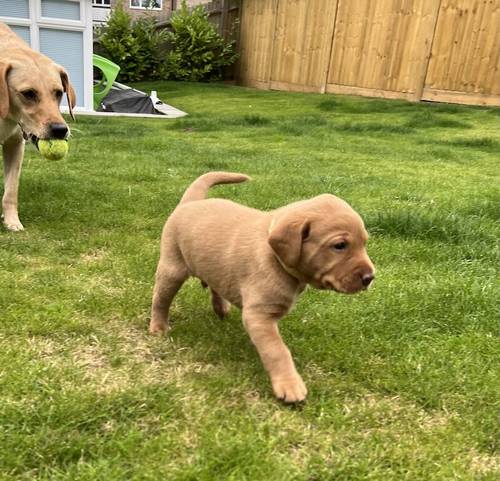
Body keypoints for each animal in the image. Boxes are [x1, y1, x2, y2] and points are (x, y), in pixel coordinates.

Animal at [0, 23, 75, 231]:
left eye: (59, 93)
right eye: (28, 93)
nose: (60, 130)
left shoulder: (15, 145)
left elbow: (11, 190)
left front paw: (12, 221)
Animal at [150, 172, 374, 402]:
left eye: (364, 243)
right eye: (339, 246)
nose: (370, 277)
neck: (275, 257)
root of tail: (191, 202)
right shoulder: (259, 315)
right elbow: (277, 350)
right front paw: (289, 384)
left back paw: (220, 307)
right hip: (172, 267)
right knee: (160, 299)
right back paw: (158, 326)